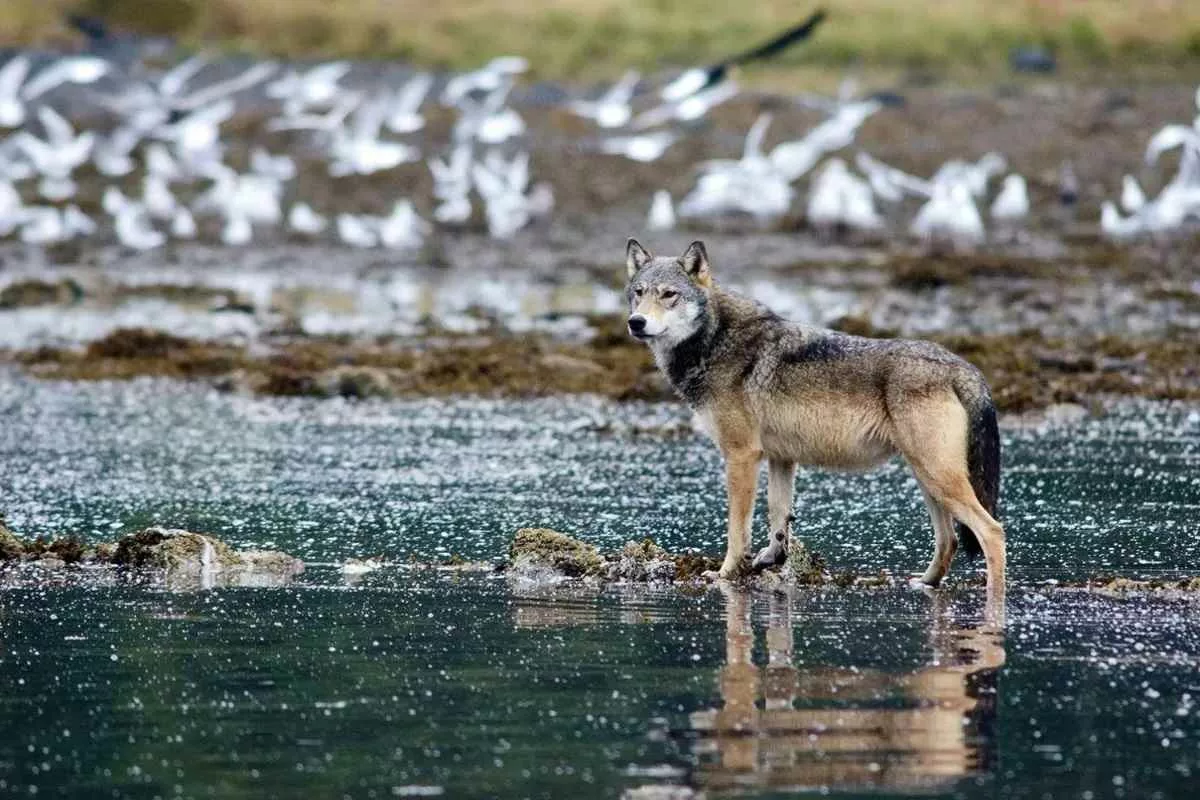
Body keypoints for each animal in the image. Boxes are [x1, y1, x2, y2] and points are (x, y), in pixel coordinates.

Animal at [623, 238, 1004, 592]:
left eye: (669, 295)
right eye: (638, 293)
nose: (636, 322)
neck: (713, 339)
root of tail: (964, 368)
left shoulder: (741, 455)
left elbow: (737, 528)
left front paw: (726, 574)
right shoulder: (780, 457)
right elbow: (778, 518)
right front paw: (772, 558)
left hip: (938, 478)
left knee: (993, 533)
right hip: (928, 480)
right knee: (949, 540)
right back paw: (922, 584)